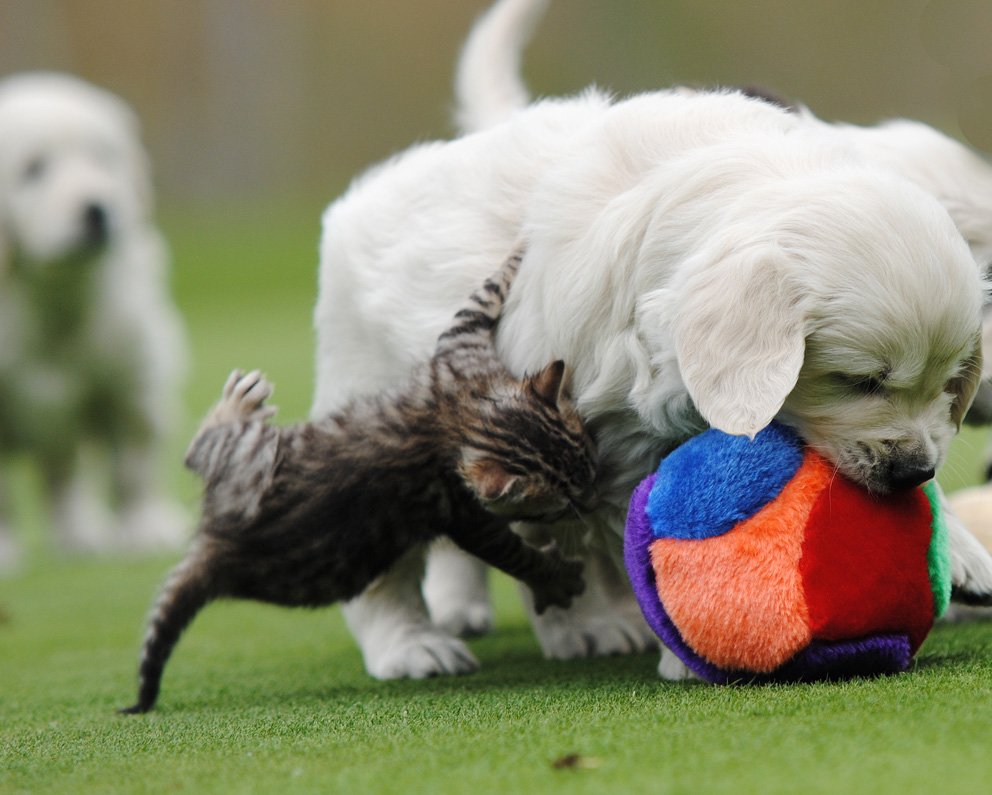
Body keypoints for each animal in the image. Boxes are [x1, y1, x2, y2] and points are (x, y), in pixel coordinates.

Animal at [0, 71, 188, 568]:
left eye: (104, 158)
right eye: (33, 169)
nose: (99, 210)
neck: (55, 288)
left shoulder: (129, 382)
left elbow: (132, 465)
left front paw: (144, 530)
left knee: (67, 475)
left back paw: (84, 534)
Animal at [119, 250, 592, 716]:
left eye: (588, 461)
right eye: (555, 507)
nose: (588, 500)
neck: (465, 417)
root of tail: (219, 544)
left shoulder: (458, 354)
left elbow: (483, 295)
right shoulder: (466, 506)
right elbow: (511, 552)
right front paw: (554, 578)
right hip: (253, 467)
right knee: (200, 445)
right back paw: (234, 404)